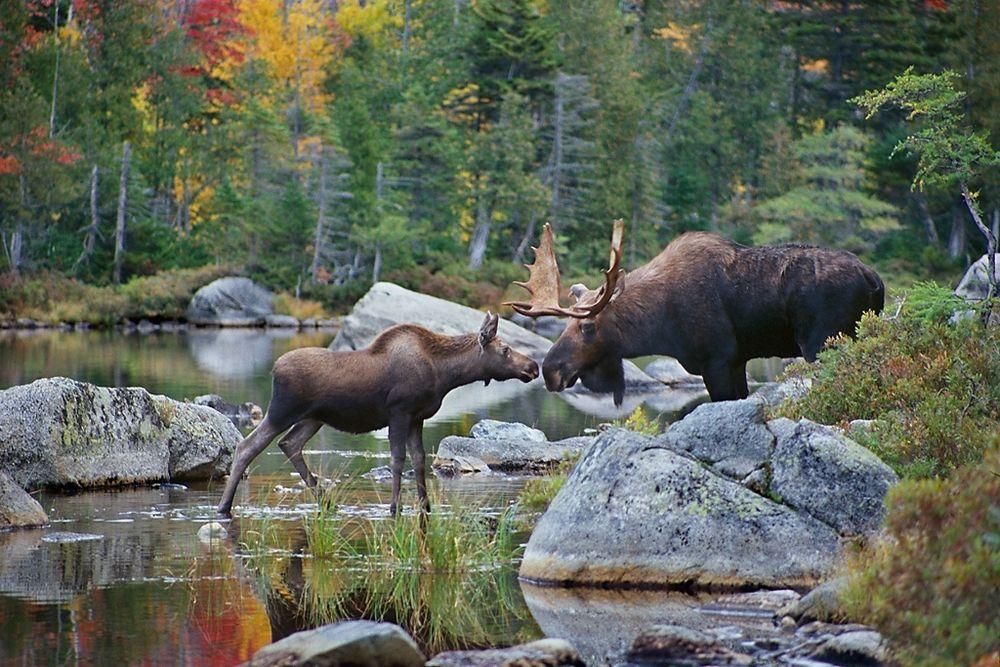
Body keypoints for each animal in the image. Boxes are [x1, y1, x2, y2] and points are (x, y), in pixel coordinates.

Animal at [217, 314, 540, 516]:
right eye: (506, 349)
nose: (534, 366)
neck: (445, 374)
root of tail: (274, 369)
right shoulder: (399, 412)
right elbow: (398, 459)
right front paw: (395, 507)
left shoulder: (418, 417)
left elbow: (419, 459)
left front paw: (425, 505)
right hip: (283, 411)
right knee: (247, 446)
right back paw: (224, 506)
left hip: (313, 418)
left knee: (289, 444)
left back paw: (326, 500)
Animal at [508, 222, 884, 404]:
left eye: (587, 327)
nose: (550, 370)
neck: (659, 327)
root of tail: (874, 280)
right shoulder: (736, 362)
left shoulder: (717, 359)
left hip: (822, 343)